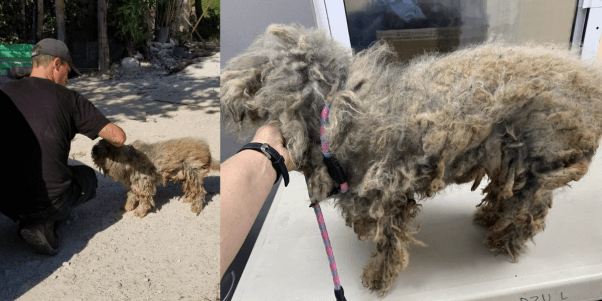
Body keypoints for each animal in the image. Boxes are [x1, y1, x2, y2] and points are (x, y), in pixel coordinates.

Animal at [220, 24, 600, 296]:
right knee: (503, 193)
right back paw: (490, 217)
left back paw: (502, 240)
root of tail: (591, 85)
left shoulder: (389, 196)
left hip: (538, 167)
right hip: (509, 160)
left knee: (526, 212)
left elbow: (390, 242)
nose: (226, 92)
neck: (338, 111)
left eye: (256, 72)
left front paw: (378, 276)